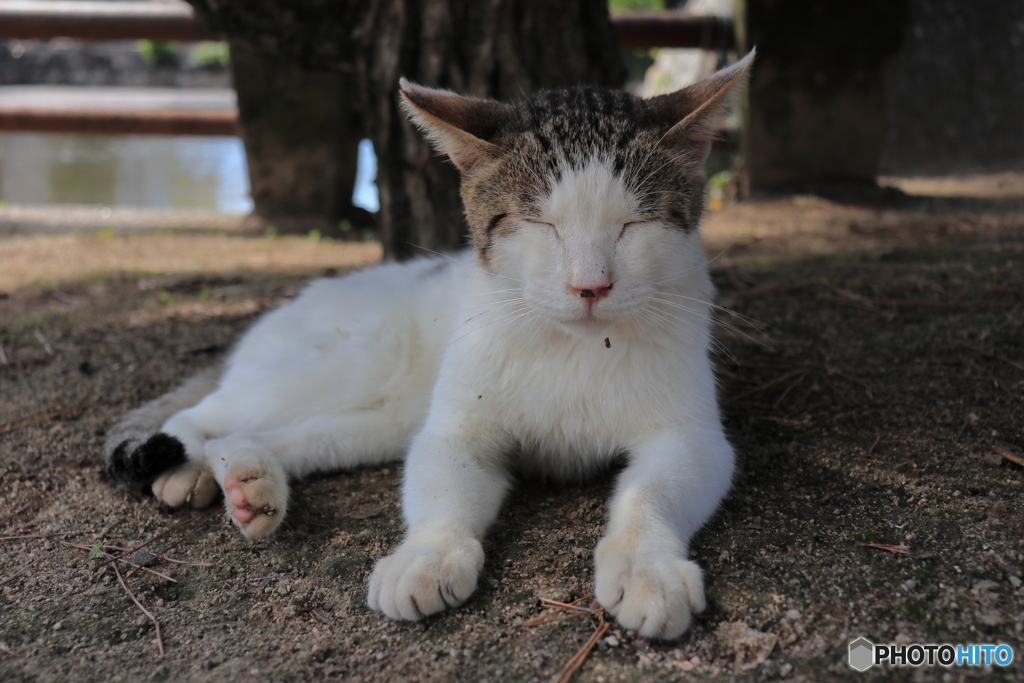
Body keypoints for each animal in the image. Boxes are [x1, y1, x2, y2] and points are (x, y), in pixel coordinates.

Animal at [101, 49, 753, 643]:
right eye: (541, 224)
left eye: (633, 225)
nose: (589, 286)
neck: (573, 345)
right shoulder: (458, 428)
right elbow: (442, 486)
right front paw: (429, 555)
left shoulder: (692, 437)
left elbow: (652, 494)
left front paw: (647, 569)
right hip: (353, 357)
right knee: (202, 413)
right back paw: (188, 468)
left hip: (382, 417)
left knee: (275, 435)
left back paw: (248, 480)